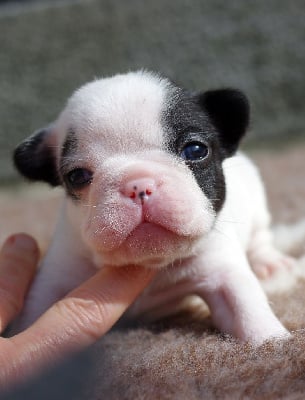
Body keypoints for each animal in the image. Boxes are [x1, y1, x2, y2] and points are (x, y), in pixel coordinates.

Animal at [12, 70, 292, 342]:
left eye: (195, 150)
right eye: (77, 176)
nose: (138, 185)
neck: (152, 262)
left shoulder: (219, 268)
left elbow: (245, 305)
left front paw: (271, 340)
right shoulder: (56, 275)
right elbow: (34, 314)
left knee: (260, 238)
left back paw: (270, 264)